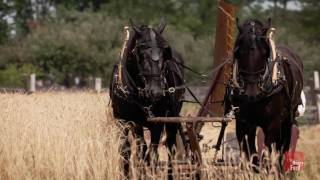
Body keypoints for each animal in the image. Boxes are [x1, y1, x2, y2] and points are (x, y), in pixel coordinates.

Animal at [110, 19, 185, 177]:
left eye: (164, 53)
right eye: (140, 54)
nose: (156, 92)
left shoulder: (157, 122)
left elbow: (153, 153)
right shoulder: (124, 121)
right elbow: (129, 152)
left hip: (172, 118)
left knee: (170, 147)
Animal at [225, 18, 302, 167]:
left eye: (265, 53)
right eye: (238, 52)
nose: (251, 93)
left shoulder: (273, 122)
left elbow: (266, 154)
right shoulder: (243, 123)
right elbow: (251, 155)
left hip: (287, 119)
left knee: (283, 147)